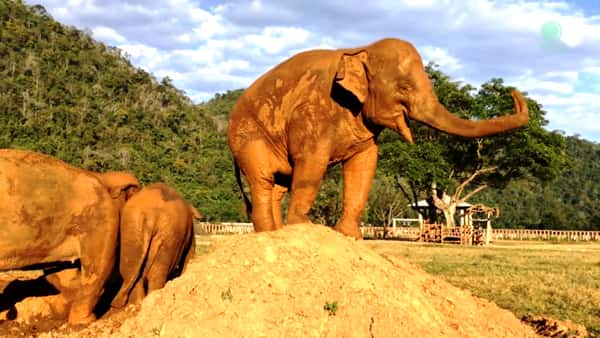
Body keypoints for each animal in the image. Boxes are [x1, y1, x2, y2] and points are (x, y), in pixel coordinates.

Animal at [227, 37, 528, 239]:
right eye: (404, 88)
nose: (513, 92)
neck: (360, 49)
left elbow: (364, 164)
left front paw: (349, 235)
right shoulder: (312, 110)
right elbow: (313, 163)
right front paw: (305, 227)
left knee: (277, 187)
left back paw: (273, 234)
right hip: (247, 137)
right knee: (263, 182)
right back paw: (268, 234)